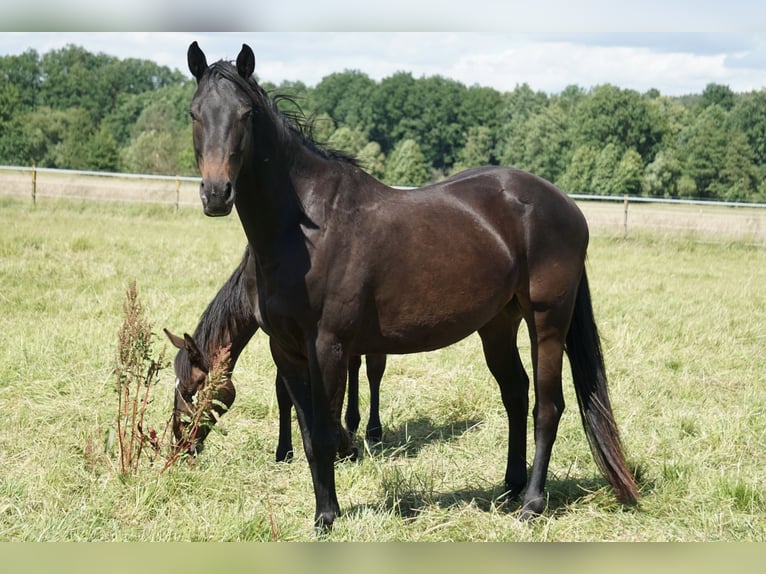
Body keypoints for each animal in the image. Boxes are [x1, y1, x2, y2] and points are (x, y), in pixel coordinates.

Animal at [164, 245, 387, 462]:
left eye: (190, 392)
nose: (179, 445)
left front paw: (345, 447)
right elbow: (284, 390)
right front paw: (285, 451)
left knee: (374, 370)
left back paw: (373, 430)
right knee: (354, 364)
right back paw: (352, 423)